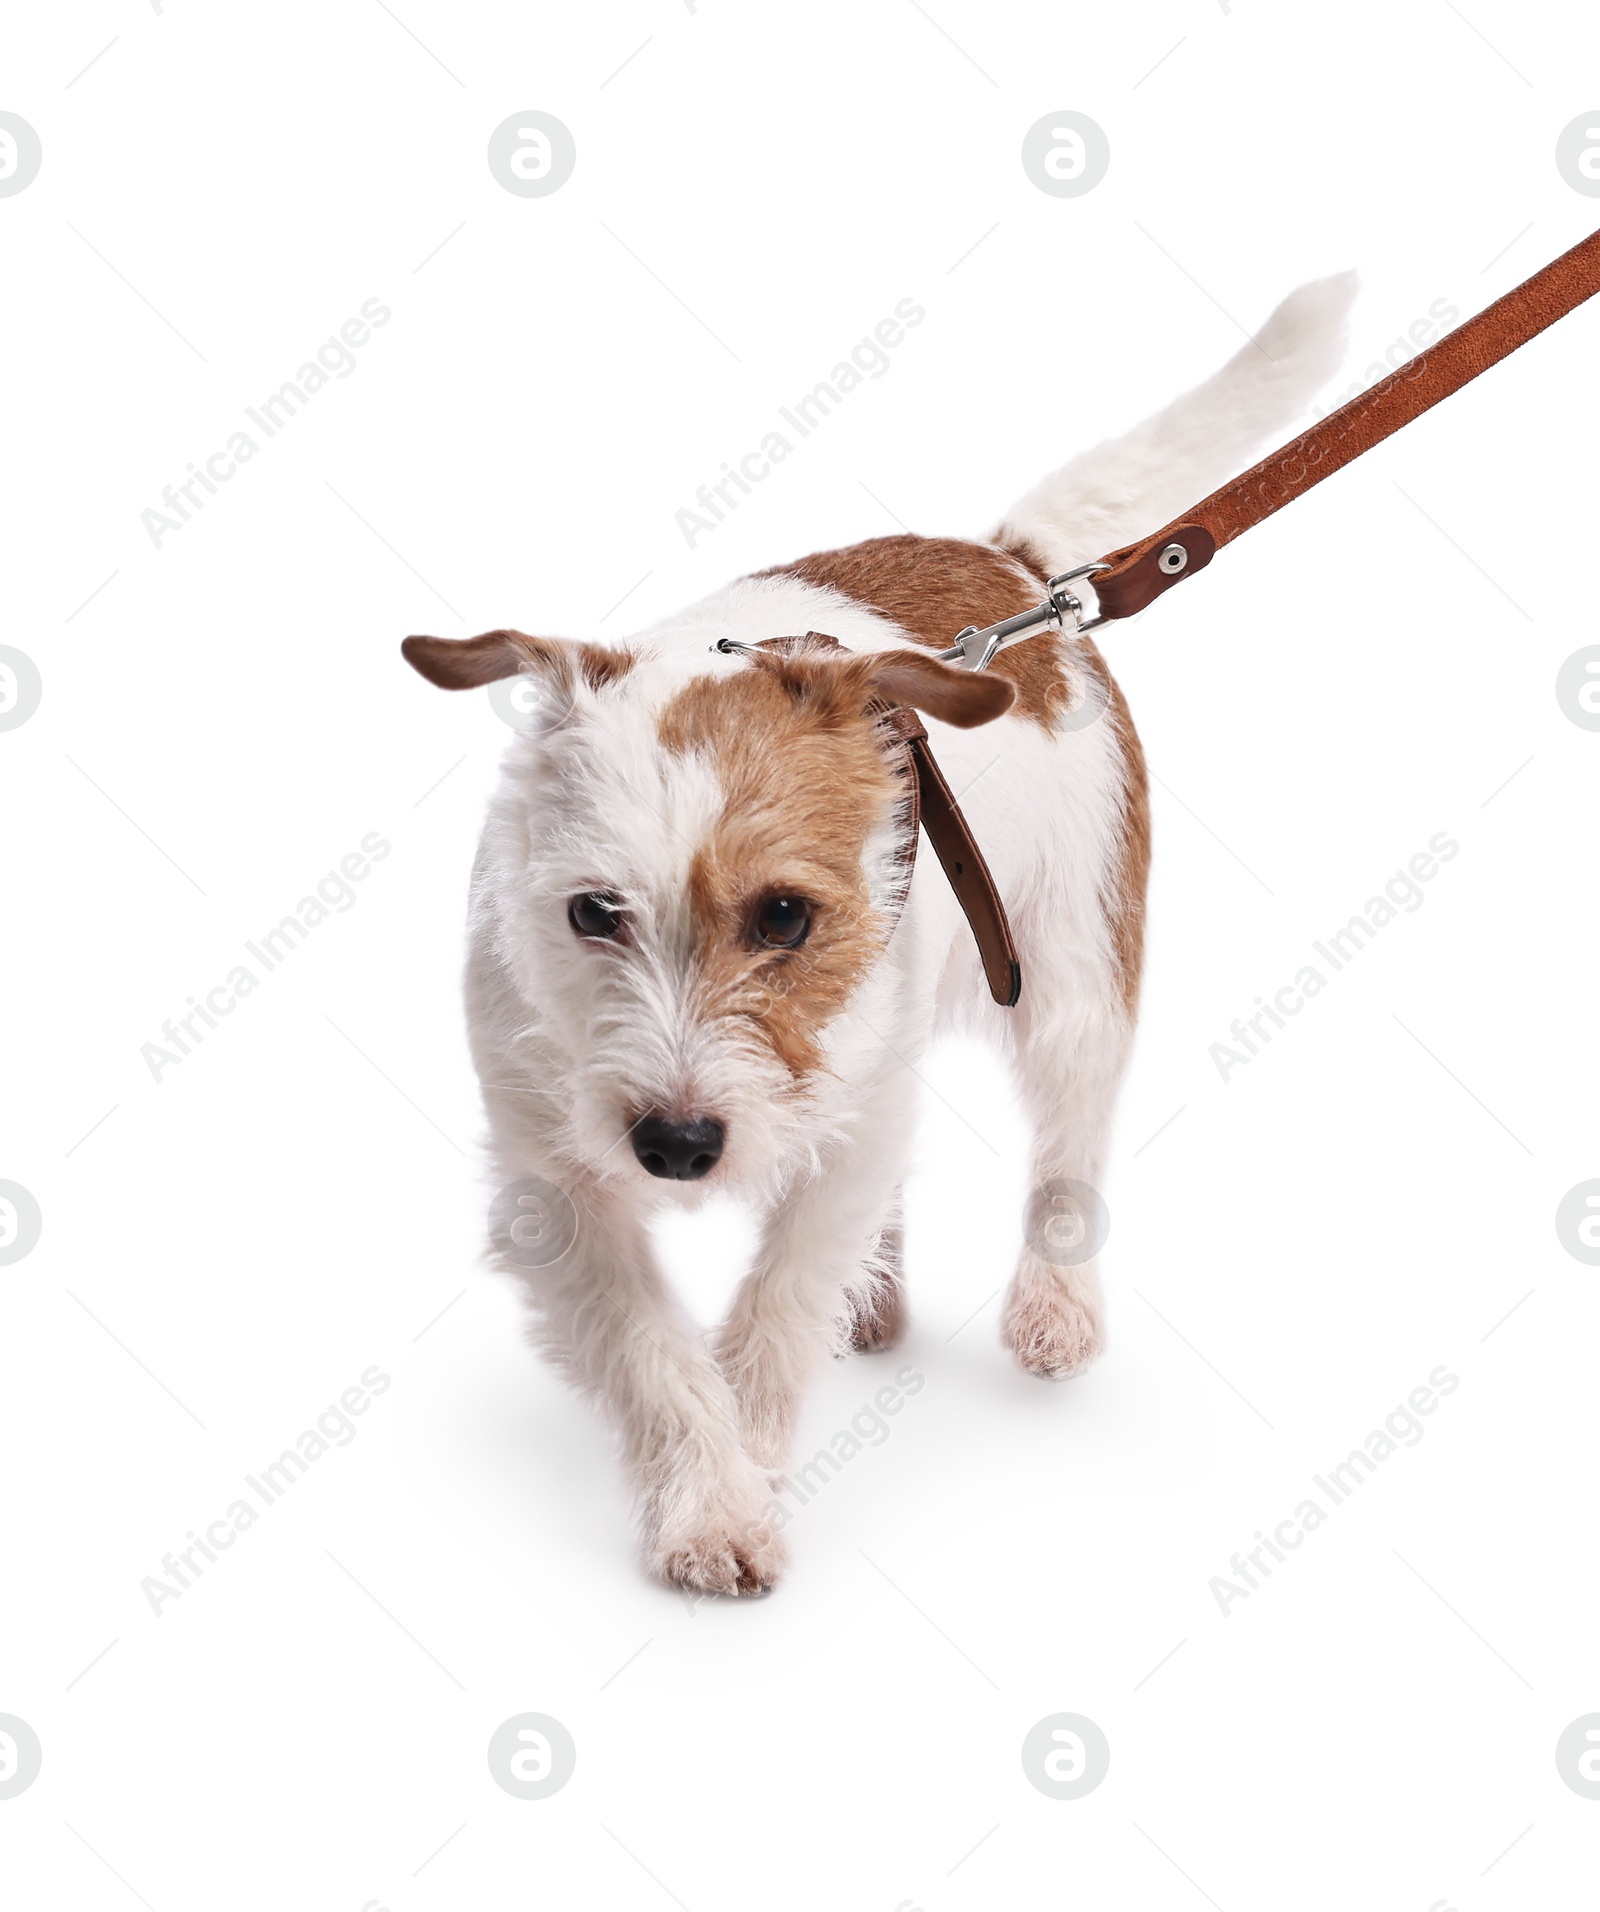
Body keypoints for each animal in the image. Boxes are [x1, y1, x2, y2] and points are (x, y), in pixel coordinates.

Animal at [399, 279, 1345, 1598]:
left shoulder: (843, 1126)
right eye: (592, 912)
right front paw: (711, 1497)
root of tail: (1017, 573)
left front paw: (745, 1454)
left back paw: (1054, 1307)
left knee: (1068, 1141)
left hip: (1071, 971)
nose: (678, 1146)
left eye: (785, 915)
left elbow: (778, 1303)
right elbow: (649, 1346)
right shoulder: (553, 1178)